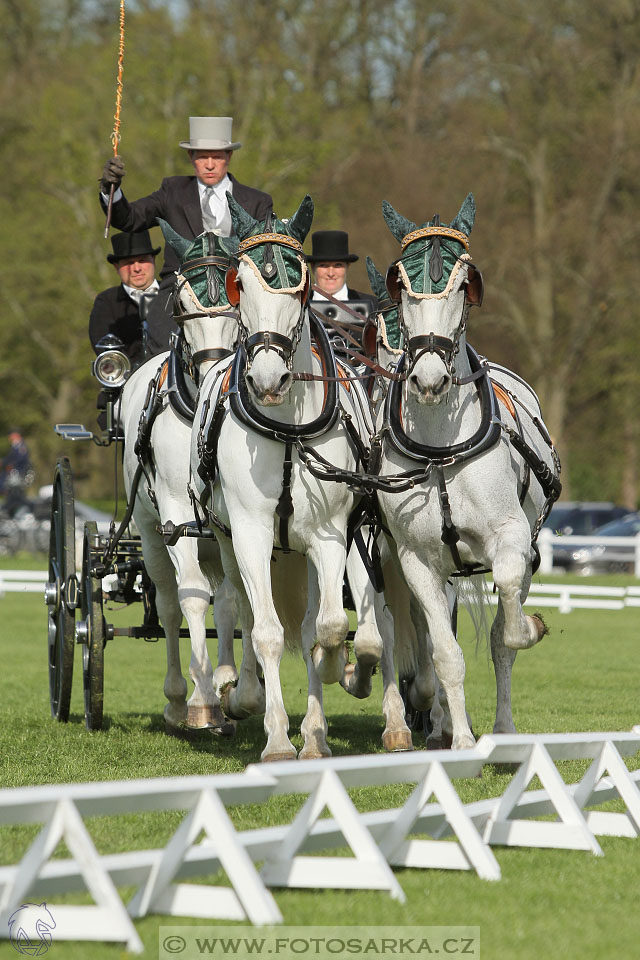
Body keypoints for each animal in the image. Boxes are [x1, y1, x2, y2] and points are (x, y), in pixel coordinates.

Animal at [191, 199, 410, 760]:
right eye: (240, 284)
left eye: (302, 284)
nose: (268, 380)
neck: (288, 426)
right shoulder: (249, 532)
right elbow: (266, 631)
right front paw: (274, 738)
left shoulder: (331, 534)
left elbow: (330, 627)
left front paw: (340, 675)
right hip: (230, 541)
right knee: (242, 610)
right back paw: (240, 693)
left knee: (344, 620)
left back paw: (324, 728)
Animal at [370, 195, 560, 752]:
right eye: (401, 285)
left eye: (464, 285)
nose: (429, 379)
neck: (439, 449)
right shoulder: (415, 561)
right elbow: (444, 654)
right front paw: (458, 744)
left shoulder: (512, 540)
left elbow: (507, 633)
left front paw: (531, 628)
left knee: (502, 639)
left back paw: (505, 730)